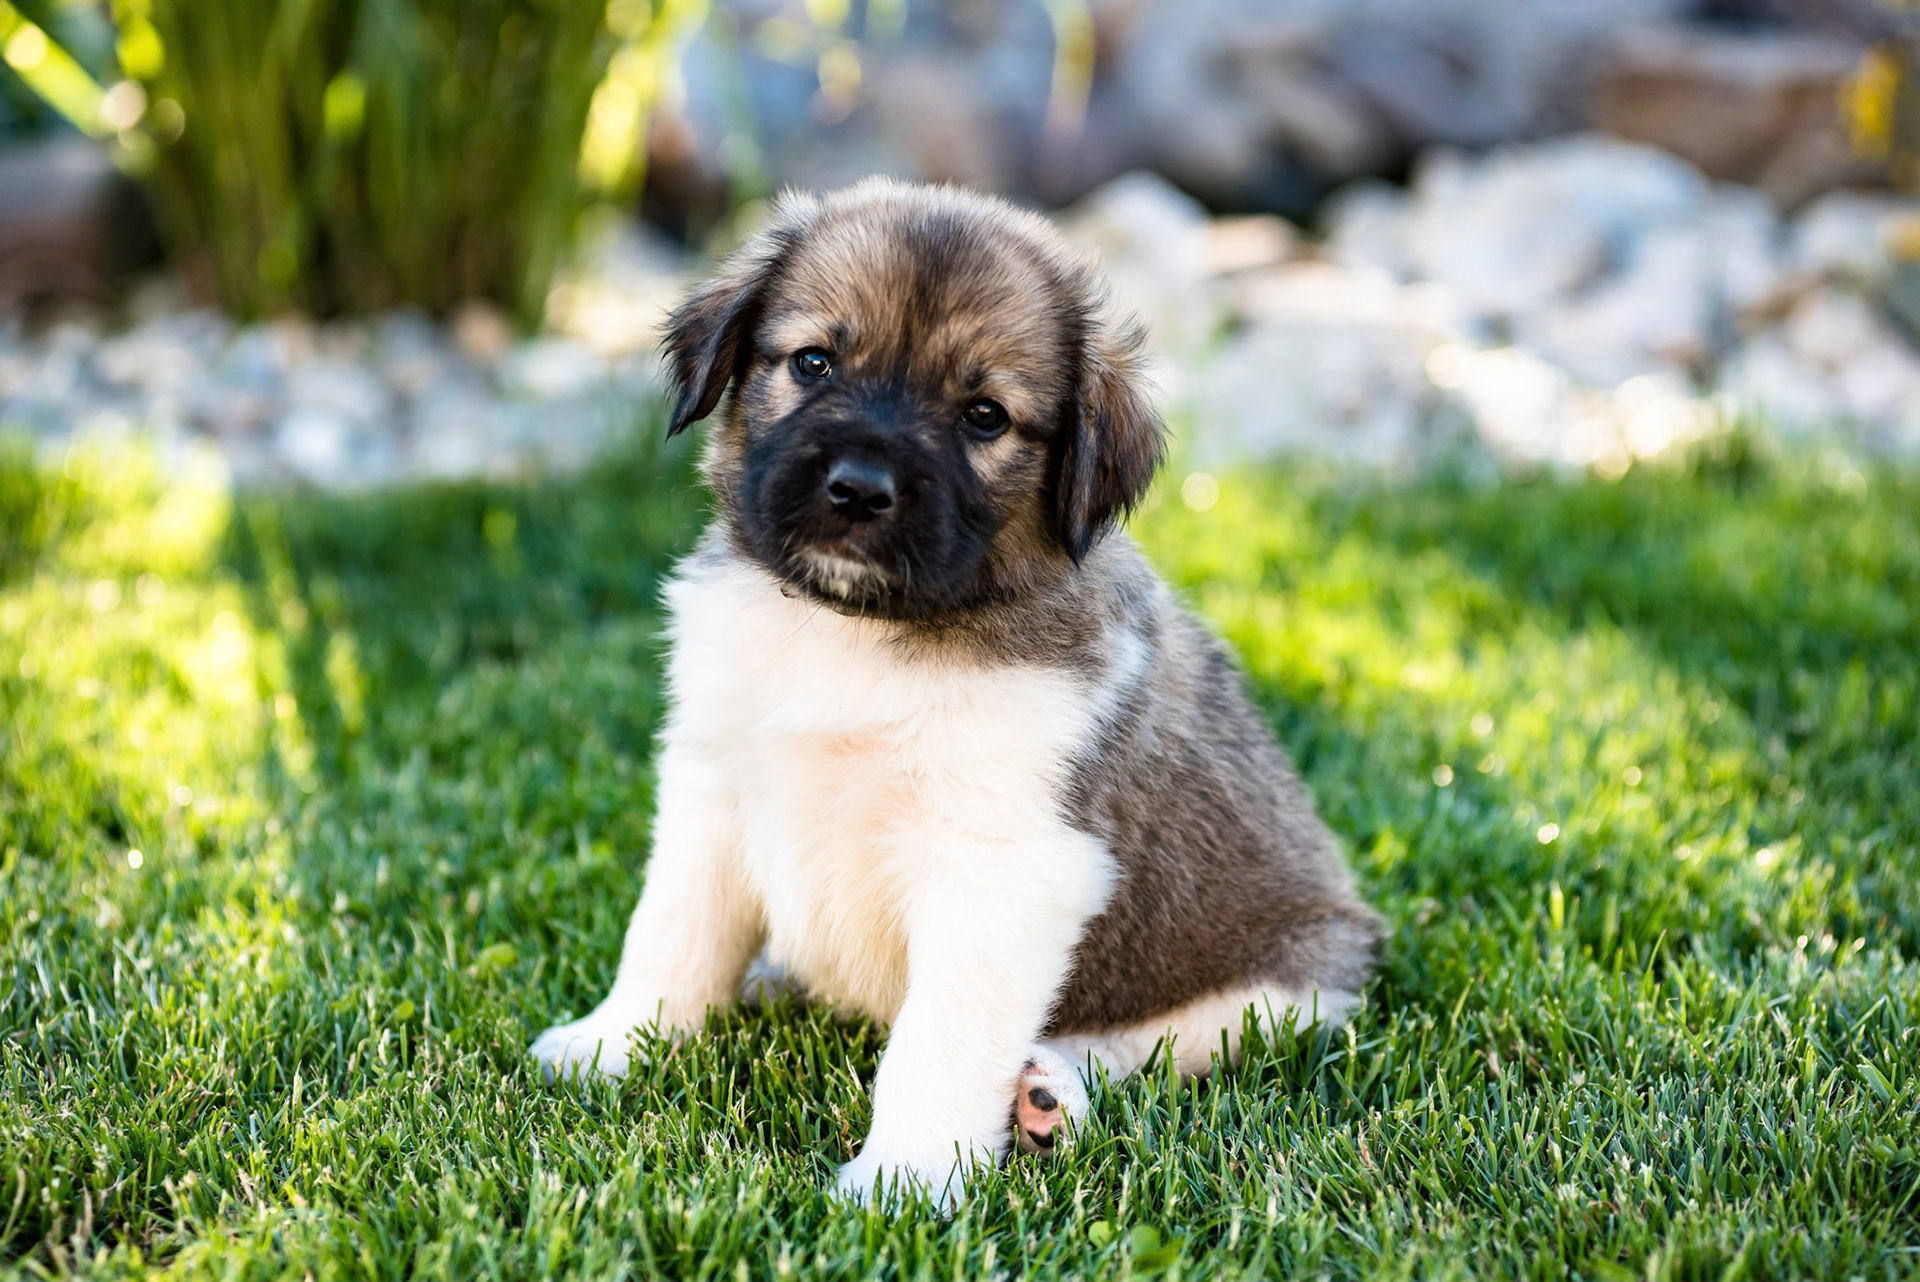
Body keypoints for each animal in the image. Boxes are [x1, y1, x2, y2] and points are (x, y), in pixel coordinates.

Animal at [530, 178, 1382, 1208]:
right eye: (813, 362)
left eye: (983, 415)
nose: (859, 489)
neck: (857, 634)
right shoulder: (713, 790)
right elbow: (671, 937)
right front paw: (613, 1045)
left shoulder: (1007, 868)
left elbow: (939, 1041)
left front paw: (904, 1177)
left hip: (1285, 989)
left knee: (1139, 1047)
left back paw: (1048, 1094)